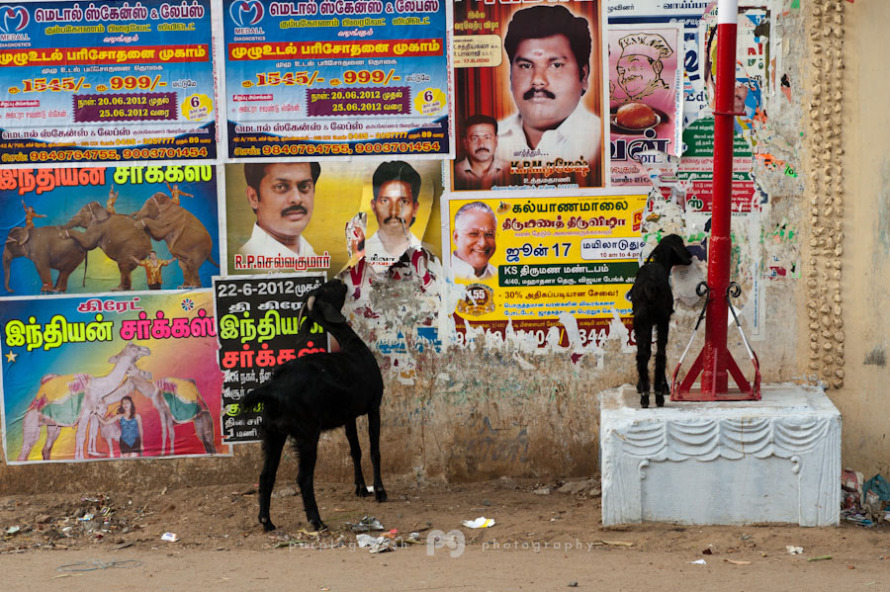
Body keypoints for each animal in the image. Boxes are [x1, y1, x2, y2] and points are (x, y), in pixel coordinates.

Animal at [239, 278, 386, 532]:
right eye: (327, 290)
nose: (339, 281)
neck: (352, 346)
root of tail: (274, 387)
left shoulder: (348, 415)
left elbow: (355, 449)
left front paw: (360, 487)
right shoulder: (373, 405)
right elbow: (373, 450)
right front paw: (379, 491)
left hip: (272, 433)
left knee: (266, 475)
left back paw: (267, 522)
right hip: (307, 433)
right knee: (303, 478)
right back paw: (317, 521)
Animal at [628, 234, 692, 410]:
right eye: (681, 243)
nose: (690, 256)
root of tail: (651, 286)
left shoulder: (647, 323)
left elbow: (647, 351)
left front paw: (642, 386)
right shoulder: (660, 320)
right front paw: (664, 387)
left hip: (641, 320)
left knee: (642, 354)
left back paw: (645, 396)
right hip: (661, 319)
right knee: (661, 353)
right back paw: (658, 395)